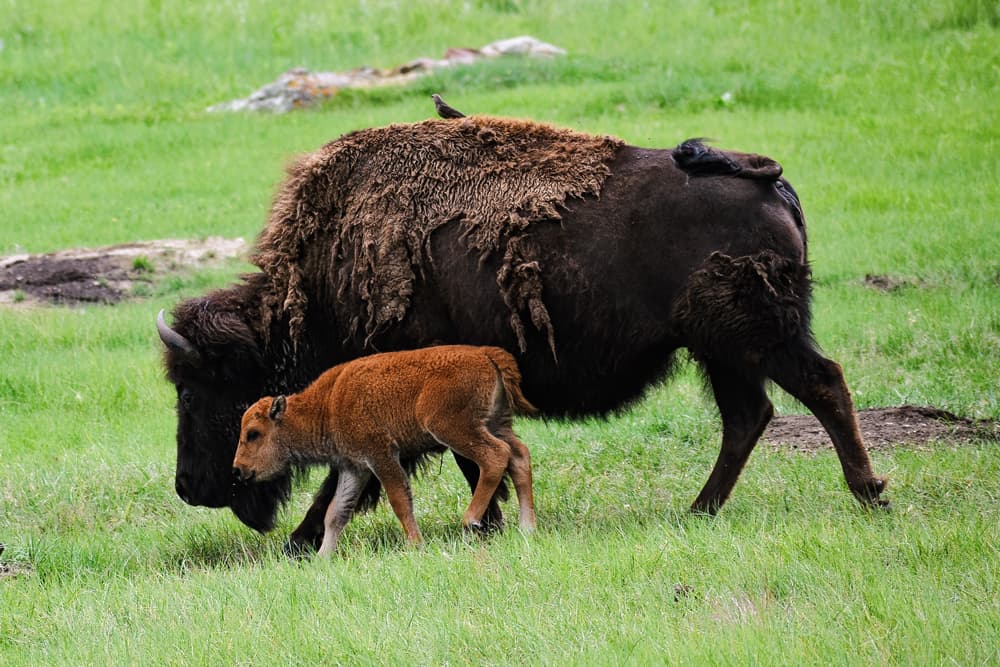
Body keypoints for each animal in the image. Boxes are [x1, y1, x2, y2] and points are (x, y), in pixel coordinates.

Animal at [232, 345, 537, 555]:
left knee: (495, 456)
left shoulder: (381, 456)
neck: (328, 404)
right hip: (497, 424)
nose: (238, 469)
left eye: (253, 433)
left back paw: (471, 520)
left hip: (455, 429)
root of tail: (485, 353)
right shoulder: (354, 467)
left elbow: (399, 500)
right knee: (519, 456)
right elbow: (335, 513)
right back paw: (527, 527)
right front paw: (323, 557)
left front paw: (415, 544)